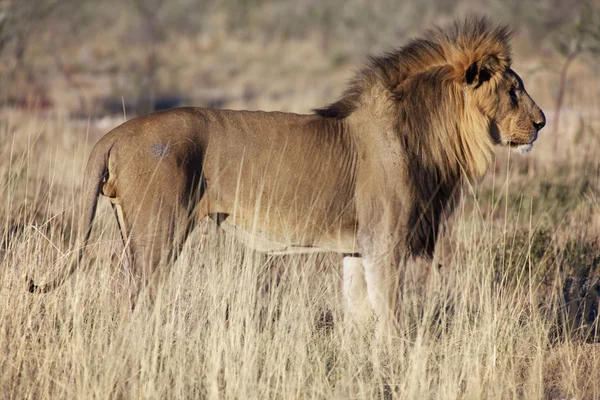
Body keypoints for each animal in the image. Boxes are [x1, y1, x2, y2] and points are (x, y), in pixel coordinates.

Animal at [29, 17, 544, 332]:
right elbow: (391, 321)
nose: (541, 123)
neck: (425, 132)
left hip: (133, 232)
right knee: (136, 308)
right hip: (159, 234)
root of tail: (113, 132)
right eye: (514, 91)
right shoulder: (385, 243)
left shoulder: (356, 248)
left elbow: (359, 317)